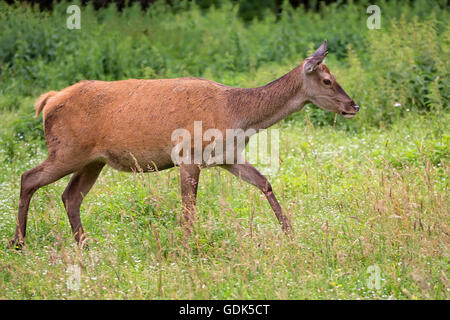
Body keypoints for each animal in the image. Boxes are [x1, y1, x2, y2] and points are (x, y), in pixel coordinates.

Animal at [9, 40, 358, 250]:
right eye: (327, 80)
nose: (353, 105)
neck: (237, 115)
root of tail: (48, 101)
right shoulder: (189, 155)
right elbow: (189, 209)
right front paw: (189, 246)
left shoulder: (228, 156)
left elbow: (264, 182)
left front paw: (289, 232)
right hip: (66, 150)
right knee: (29, 178)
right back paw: (19, 242)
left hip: (93, 160)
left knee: (70, 196)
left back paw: (84, 243)